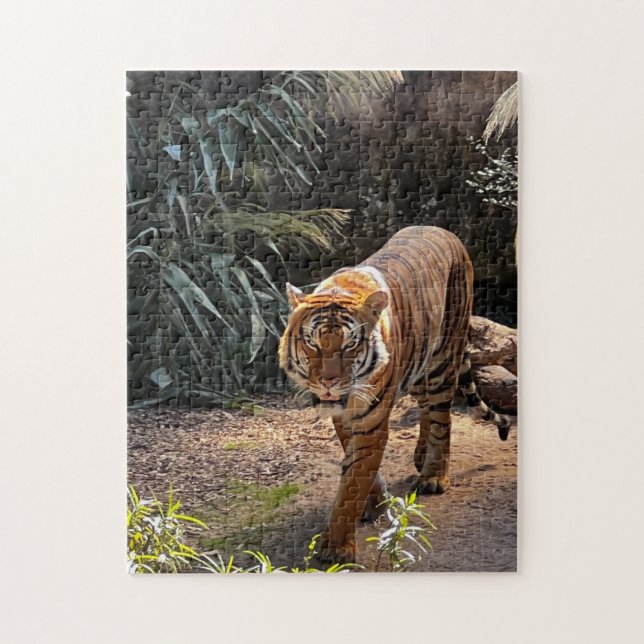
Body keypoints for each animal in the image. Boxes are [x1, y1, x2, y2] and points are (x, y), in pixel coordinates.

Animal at [279, 226, 512, 563]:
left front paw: (336, 549)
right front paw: (375, 503)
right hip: (418, 365)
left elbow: (355, 479)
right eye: (312, 342)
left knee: (441, 417)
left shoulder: (371, 422)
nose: (328, 382)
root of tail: (446, 232)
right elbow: (357, 467)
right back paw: (420, 455)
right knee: (426, 406)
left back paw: (433, 475)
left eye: (350, 345)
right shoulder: (343, 416)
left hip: (444, 356)